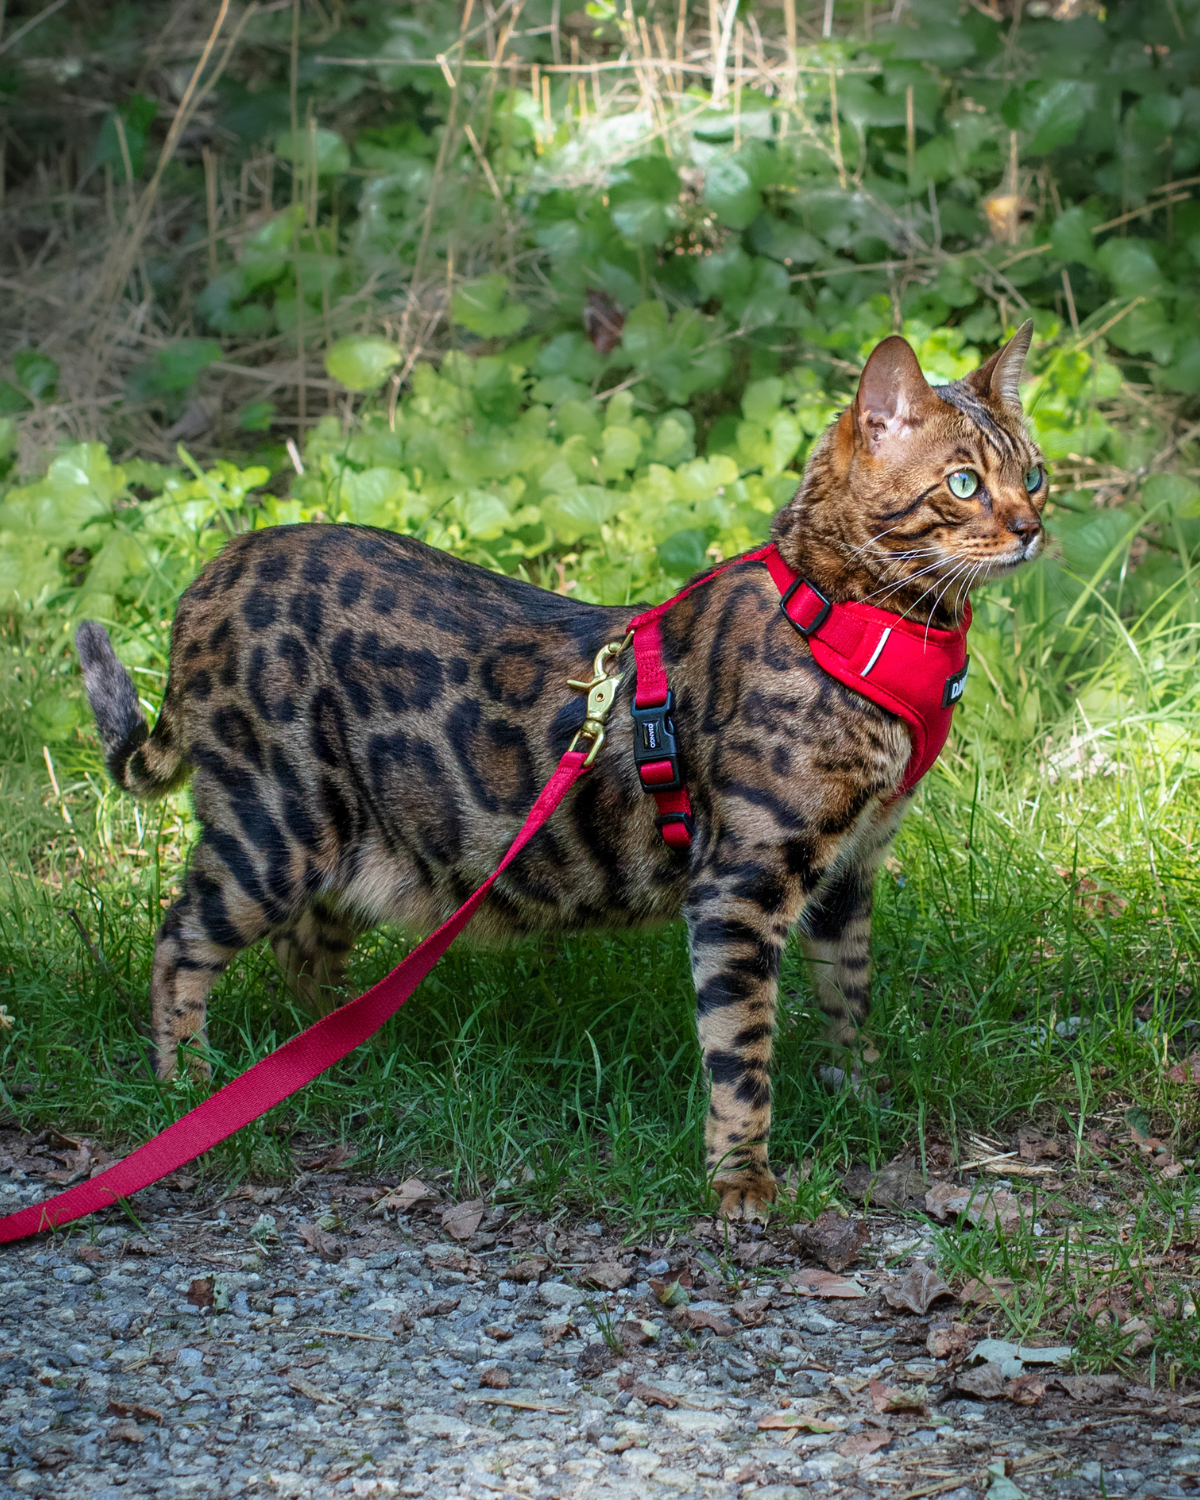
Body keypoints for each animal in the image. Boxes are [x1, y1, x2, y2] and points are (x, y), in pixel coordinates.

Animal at [79, 325, 1044, 1218]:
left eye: (1031, 476)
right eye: (964, 484)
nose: (1033, 528)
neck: (860, 628)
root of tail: (210, 577)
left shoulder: (852, 868)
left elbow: (850, 996)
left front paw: (863, 1097)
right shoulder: (742, 882)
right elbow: (742, 1052)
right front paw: (742, 1178)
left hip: (354, 847)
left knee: (304, 952)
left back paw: (335, 1059)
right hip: (274, 829)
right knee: (179, 943)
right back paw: (189, 1082)